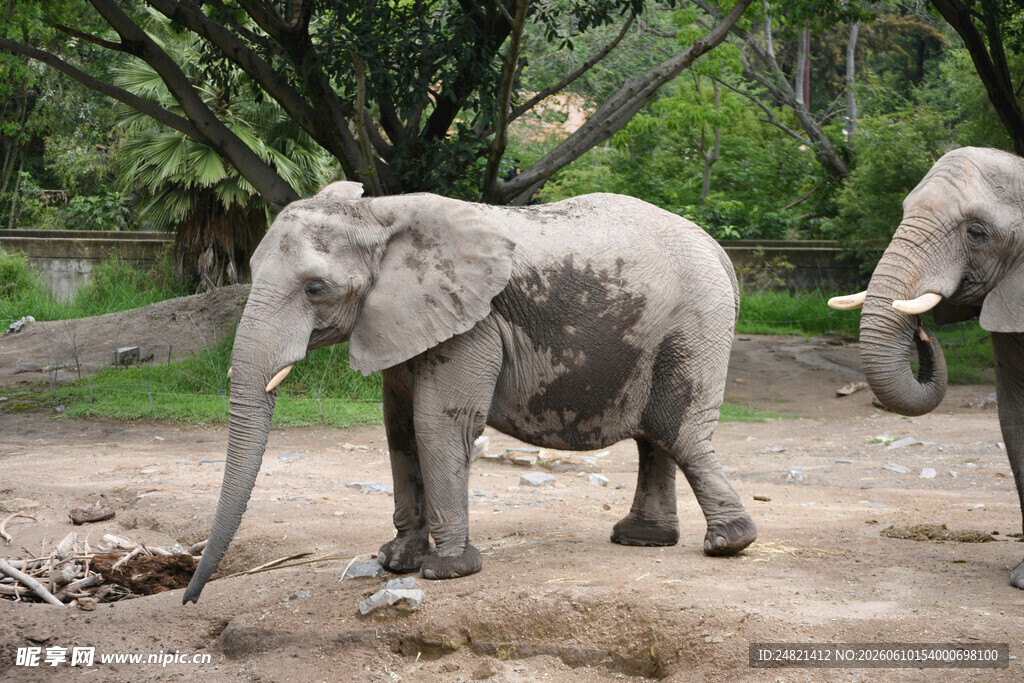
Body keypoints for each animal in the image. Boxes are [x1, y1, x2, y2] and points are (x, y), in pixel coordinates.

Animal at [182, 181, 757, 604]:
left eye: (315, 288)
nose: (190, 598)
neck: (376, 215)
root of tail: (719, 251)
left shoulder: (472, 322)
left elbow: (438, 424)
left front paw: (447, 570)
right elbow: (398, 428)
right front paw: (395, 560)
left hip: (694, 324)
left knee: (679, 431)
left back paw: (728, 543)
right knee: (654, 437)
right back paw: (643, 539)